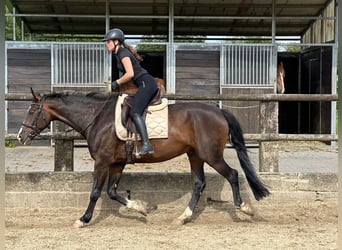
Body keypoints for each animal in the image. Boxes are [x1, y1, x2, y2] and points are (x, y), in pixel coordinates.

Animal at [17, 88, 270, 229]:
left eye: (32, 111)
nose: (20, 136)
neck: (97, 118)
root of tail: (219, 111)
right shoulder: (117, 163)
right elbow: (112, 192)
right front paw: (140, 208)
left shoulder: (102, 162)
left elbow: (95, 193)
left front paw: (83, 219)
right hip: (195, 155)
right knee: (199, 184)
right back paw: (183, 217)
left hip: (211, 155)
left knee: (233, 174)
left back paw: (244, 209)